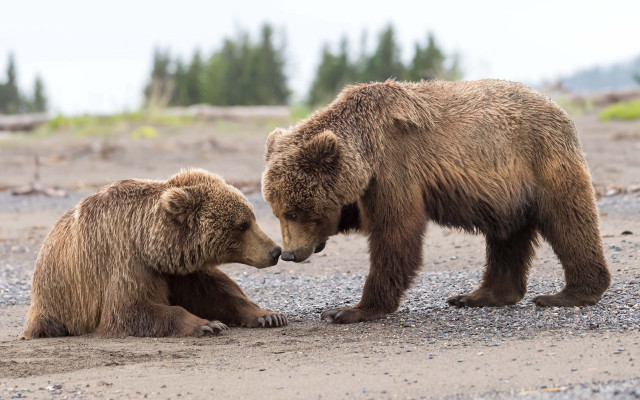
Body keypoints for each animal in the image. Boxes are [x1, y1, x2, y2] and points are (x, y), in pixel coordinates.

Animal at [21, 168, 287, 338]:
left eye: (251, 218)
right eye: (242, 225)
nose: (275, 250)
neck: (148, 243)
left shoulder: (178, 268)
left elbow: (217, 292)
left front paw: (268, 316)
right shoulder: (126, 262)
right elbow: (129, 309)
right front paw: (207, 324)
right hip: (57, 301)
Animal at [262, 79, 611, 324]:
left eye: (294, 212)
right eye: (277, 212)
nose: (290, 253)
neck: (367, 147)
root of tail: (559, 109)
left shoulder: (396, 168)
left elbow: (394, 235)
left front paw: (349, 310)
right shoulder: (370, 182)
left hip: (542, 160)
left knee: (569, 221)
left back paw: (568, 294)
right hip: (507, 193)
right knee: (507, 238)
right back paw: (478, 295)